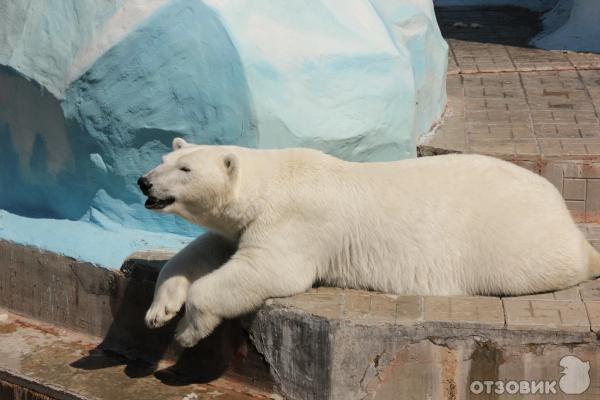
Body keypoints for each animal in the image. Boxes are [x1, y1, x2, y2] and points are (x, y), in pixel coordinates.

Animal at [139, 138, 600, 346]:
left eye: (185, 169)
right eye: (164, 159)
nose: (143, 181)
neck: (271, 183)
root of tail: (561, 207)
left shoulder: (295, 223)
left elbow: (267, 269)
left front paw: (186, 331)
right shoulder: (242, 224)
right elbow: (206, 250)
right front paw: (159, 311)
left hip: (512, 239)